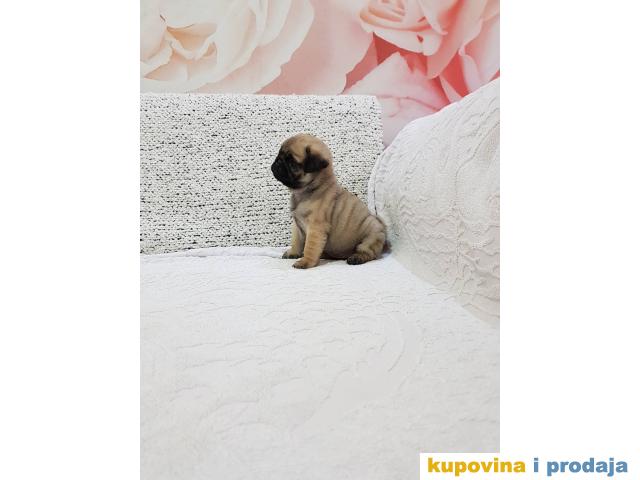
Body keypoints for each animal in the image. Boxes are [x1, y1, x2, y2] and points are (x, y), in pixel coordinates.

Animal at [271, 133, 386, 269]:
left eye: (291, 162)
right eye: (279, 155)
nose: (277, 161)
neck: (308, 190)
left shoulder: (316, 227)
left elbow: (310, 247)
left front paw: (306, 262)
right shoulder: (297, 226)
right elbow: (296, 241)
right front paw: (293, 253)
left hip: (372, 234)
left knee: (368, 252)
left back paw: (357, 257)